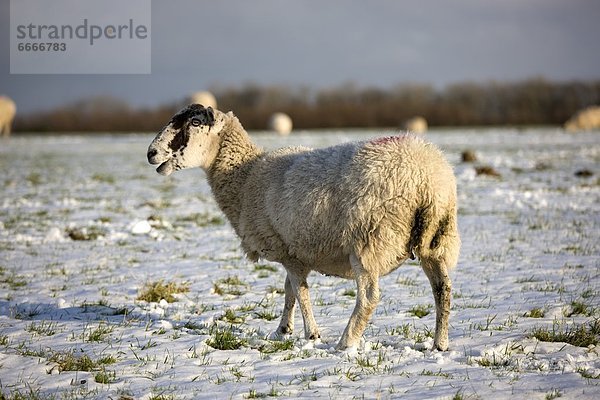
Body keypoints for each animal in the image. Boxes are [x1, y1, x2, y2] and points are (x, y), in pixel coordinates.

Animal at [148, 104, 462, 350]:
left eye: (195, 123)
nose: (151, 153)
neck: (247, 177)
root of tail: (426, 179)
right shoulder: (295, 250)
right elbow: (288, 290)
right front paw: (283, 330)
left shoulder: (288, 251)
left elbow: (300, 291)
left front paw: (311, 334)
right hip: (438, 238)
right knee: (443, 289)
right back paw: (440, 344)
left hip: (369, 238)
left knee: (369, 297)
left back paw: (346, 342)